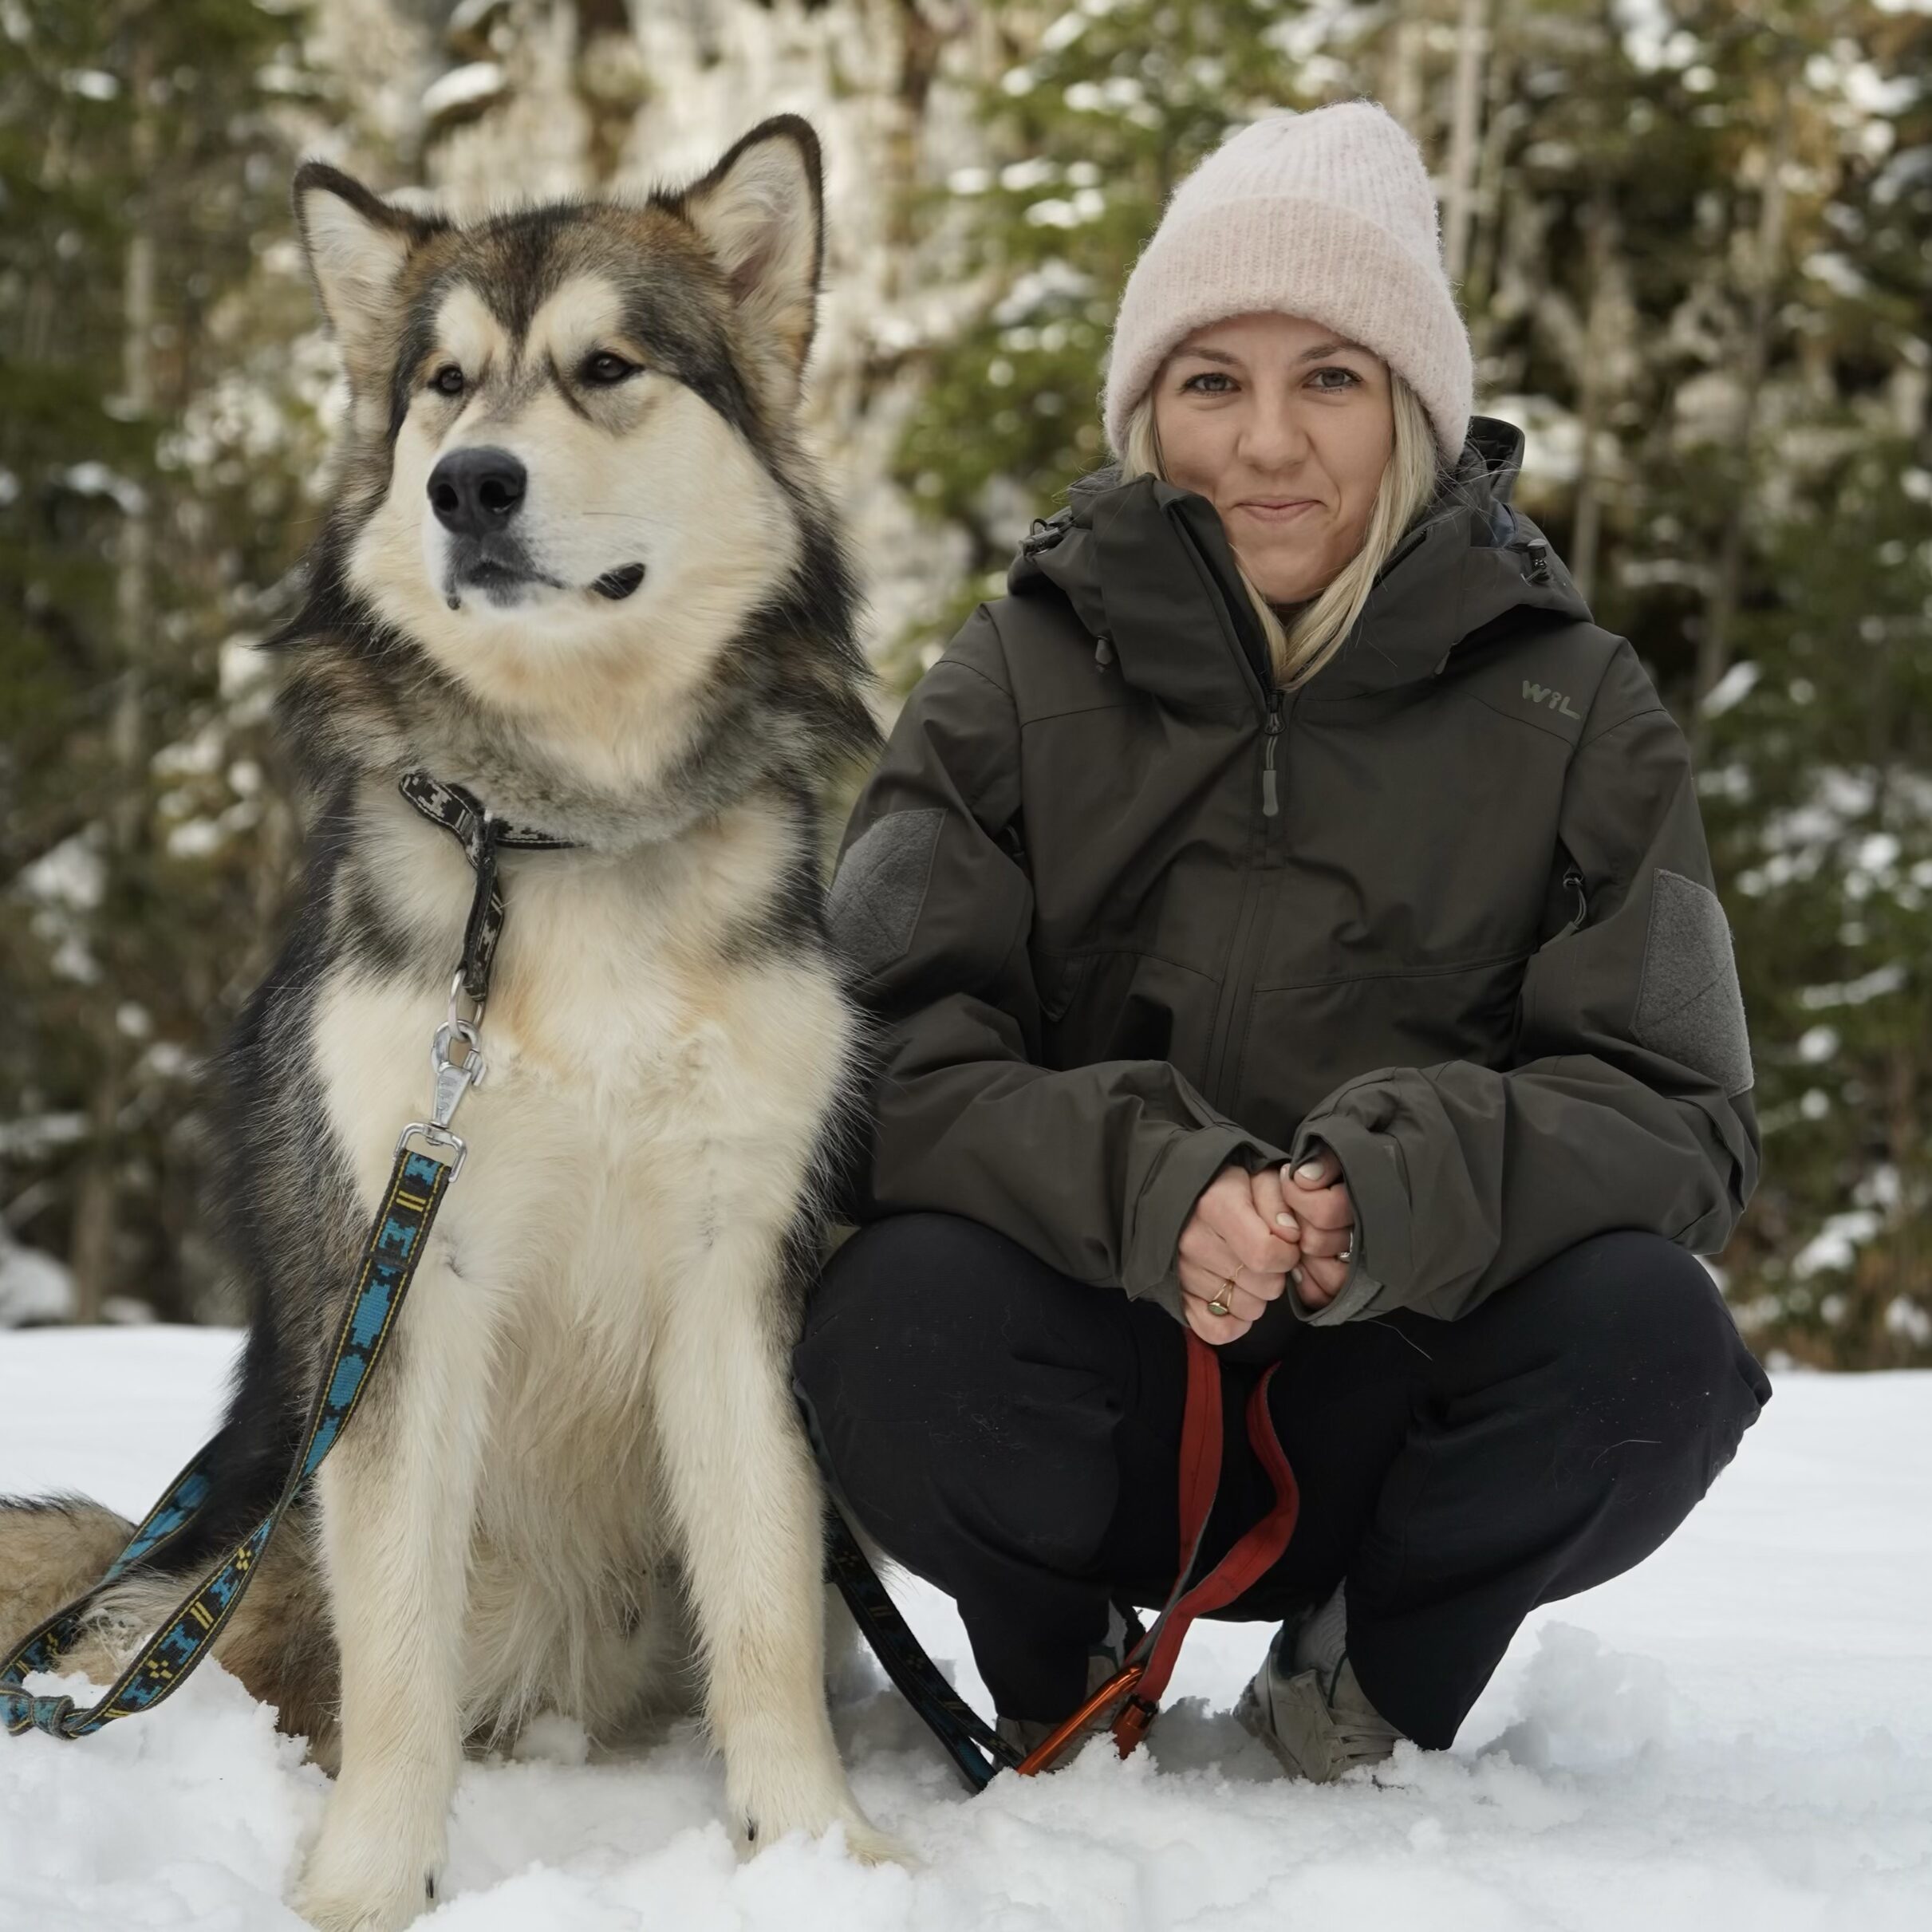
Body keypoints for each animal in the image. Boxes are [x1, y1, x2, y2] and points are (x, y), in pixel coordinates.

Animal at [0, 113, 897, 1929]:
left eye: (607, 367)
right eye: (444, 382)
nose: (466, 484)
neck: (567, 830)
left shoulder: (737, 1272)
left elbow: (768, 1603)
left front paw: (813, 1849)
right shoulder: (402, 1266)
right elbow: (399, 1648)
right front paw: (364, 1884)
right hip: (266, 1540)